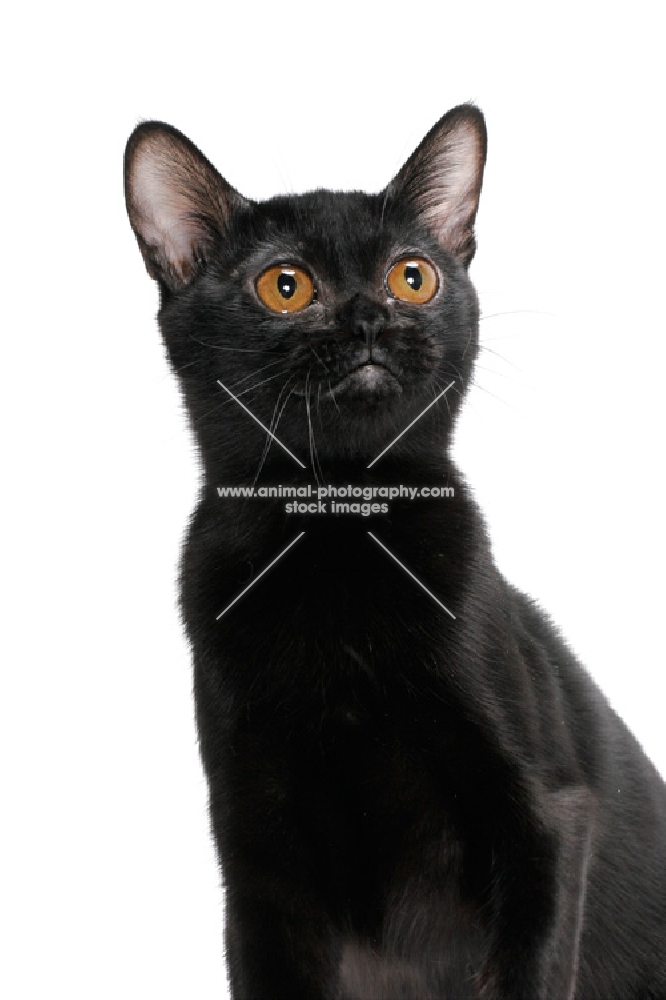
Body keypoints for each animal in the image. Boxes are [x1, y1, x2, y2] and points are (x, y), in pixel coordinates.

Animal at [124, 105, 664, 996]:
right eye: (285, 286)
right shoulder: (258, 868)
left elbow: (527, 972)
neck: (339, 539)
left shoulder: (548, 817)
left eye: (413, 277)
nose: (370, 319)